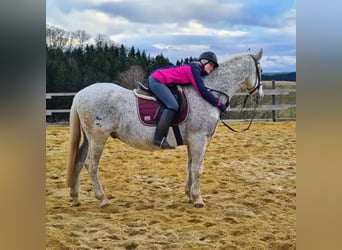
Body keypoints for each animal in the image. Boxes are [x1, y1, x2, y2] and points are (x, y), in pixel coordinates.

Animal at [66, 47, 264, 208]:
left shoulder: (192, 141)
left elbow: (190, 167)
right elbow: (198, 169)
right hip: (98, 138)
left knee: (78, 162)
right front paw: (198, 198)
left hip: (89, 138)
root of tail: (81, 93)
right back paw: (103, 199)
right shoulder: (199, 139)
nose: (260, 94)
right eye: (261, 70)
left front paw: (189, 195)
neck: (208, 91)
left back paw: (75, 198)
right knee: (91, 165)